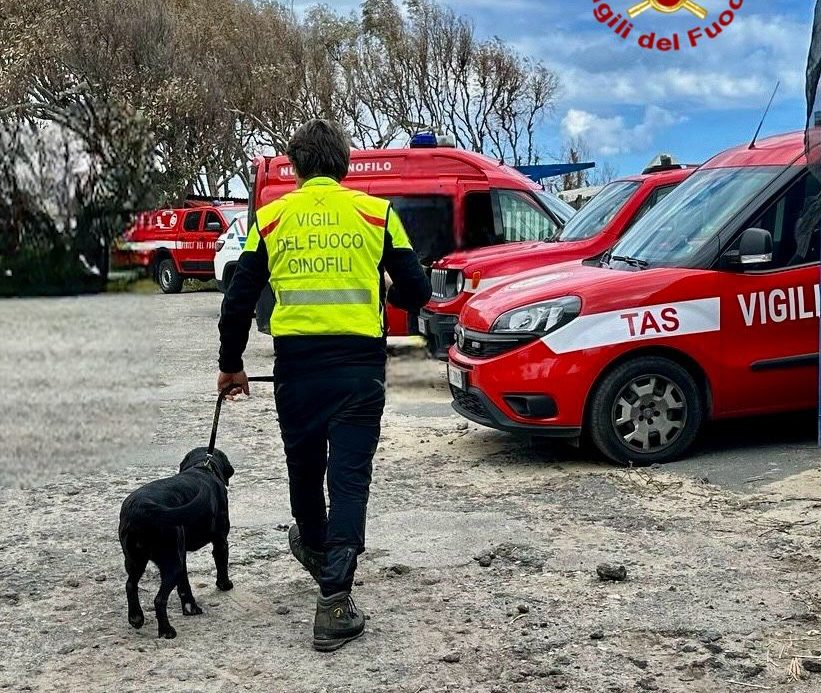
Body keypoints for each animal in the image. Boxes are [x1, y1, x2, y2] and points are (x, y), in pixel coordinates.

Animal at [118, 448, 234, 636]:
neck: (202, 466)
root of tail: (143, 508)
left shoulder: (182, 554)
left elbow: (184, 585)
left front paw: (190, 608)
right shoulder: (220, 542)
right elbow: (222, 564)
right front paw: (225, 585)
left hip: (137, 561)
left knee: (130, 585)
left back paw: (136, 617)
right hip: (171, 564)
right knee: (159, 599)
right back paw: (166, 631)